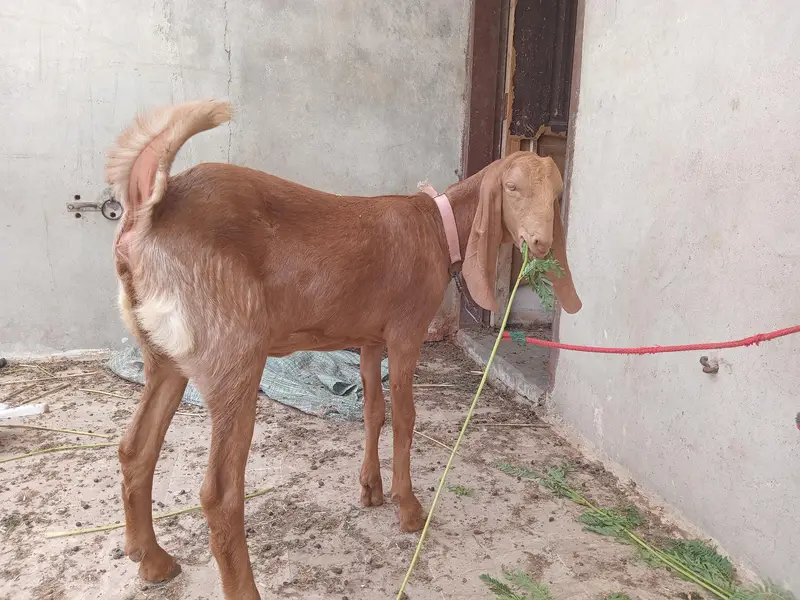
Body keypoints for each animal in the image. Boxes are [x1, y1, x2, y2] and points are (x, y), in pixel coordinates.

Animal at [107, 100, 581, 599]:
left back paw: (152, 559)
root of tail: (148, 214)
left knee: (136, 448)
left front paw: (370, 490)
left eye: (557, 195)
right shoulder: (407, 331)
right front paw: (409, 508)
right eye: (512, 188)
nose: (541, 243)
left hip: (163, 356)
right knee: (219, 491)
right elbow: (406, 418)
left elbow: (374, 410)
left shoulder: (371, 339)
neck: (437, 226)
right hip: (233, 355)